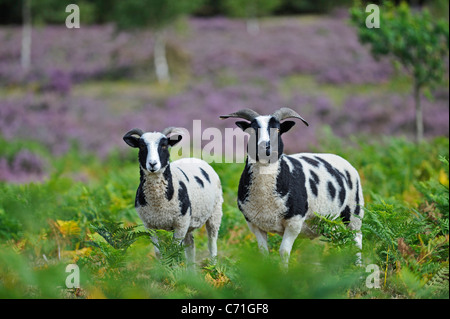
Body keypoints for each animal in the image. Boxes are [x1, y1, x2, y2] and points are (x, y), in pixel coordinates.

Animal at [123, 127, 223, 264]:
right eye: (142, 146)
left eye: (164, 145)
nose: (153, 164)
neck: (158, 203)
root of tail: (195, 158)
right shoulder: (150, 225)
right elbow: (159, 253)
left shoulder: (180, 223)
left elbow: (173, 252)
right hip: (188, 224)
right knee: (190, 247)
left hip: (215, 212)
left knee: (212, 244)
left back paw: (213, 267)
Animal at [220, 108, 364, 268]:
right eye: (252, 130)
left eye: (277, 130)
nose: (265, 147)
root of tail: (341, 159)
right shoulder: (254, 224)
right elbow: (263, 252)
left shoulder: (294, 222)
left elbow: (283, 252)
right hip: (329, 223)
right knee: (341, 238)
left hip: (354, 212)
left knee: (356, 240)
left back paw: (358, 268)